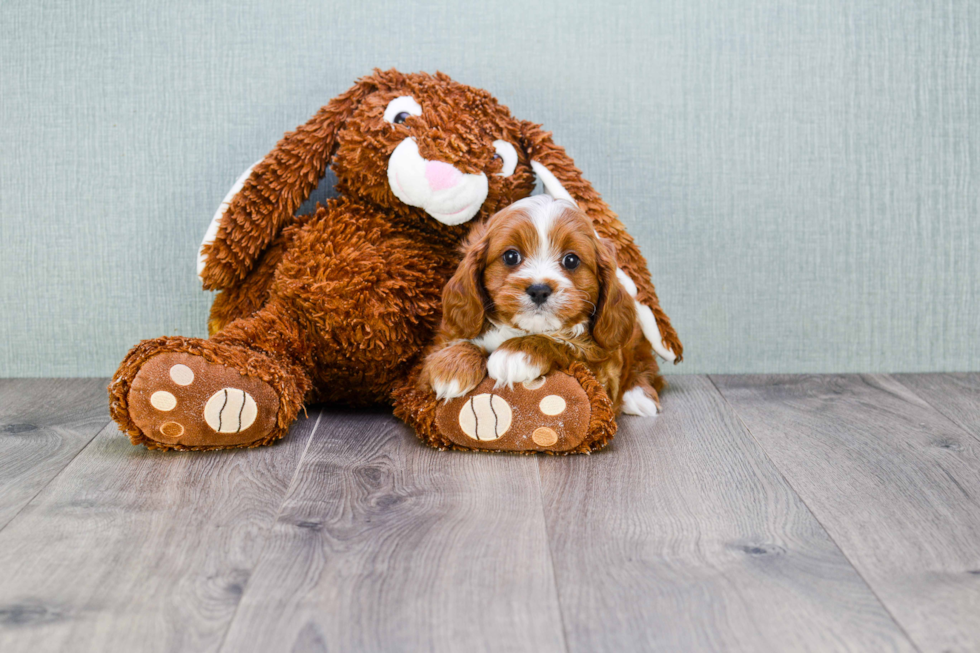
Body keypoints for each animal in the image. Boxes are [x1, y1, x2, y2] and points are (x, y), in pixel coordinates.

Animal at [418, 196, 664, 416]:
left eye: (571, 260)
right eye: (511, 256)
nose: (539, 290)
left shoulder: (603, 371)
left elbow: (565, 343)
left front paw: (517, 353)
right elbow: (455, 342)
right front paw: (452, 365)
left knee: (646, 365)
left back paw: (639, 397)